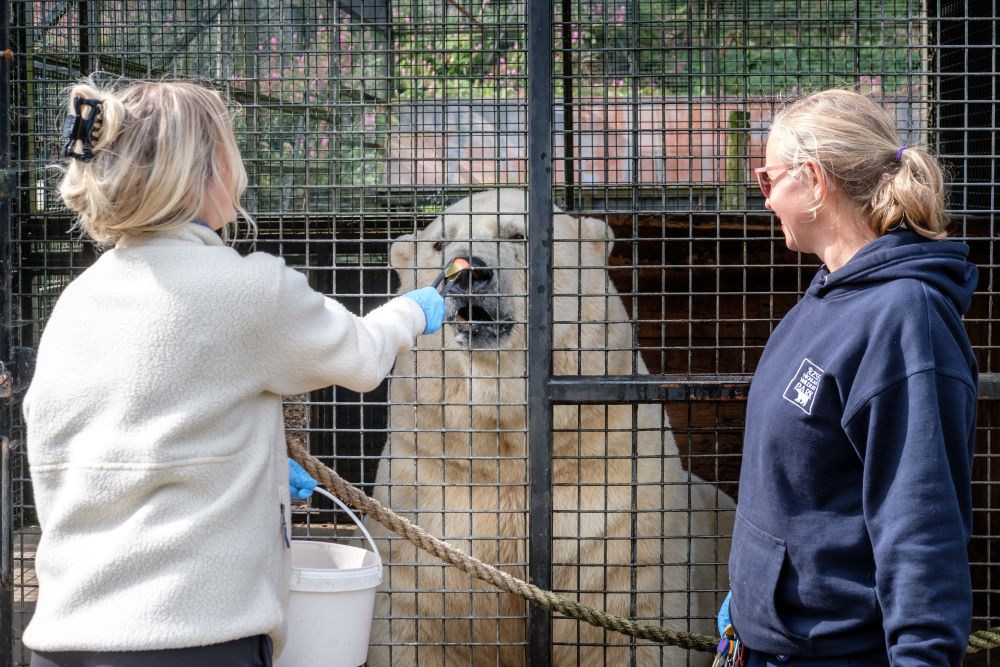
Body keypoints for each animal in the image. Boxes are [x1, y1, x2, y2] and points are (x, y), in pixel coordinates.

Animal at [368, 189, 736, 667]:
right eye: (438, 244)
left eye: (518, 235)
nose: (470, 273)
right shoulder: (429, 485)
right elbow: (417, 623)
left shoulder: (614, 496)